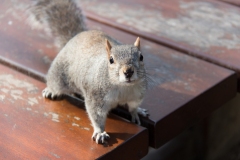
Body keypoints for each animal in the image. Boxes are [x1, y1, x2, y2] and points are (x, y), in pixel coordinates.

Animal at [27, 0, 148, 144]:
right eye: (111, 60)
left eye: (141, 57)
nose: (128, 71)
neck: (123, 87)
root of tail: (75, 37)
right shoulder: (96, 96)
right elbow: (96, 115)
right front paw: (100, 132)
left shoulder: (137, 95)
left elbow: (133, 106)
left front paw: (136, 112)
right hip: (59, 75)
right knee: (55, 83)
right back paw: (51, 91)